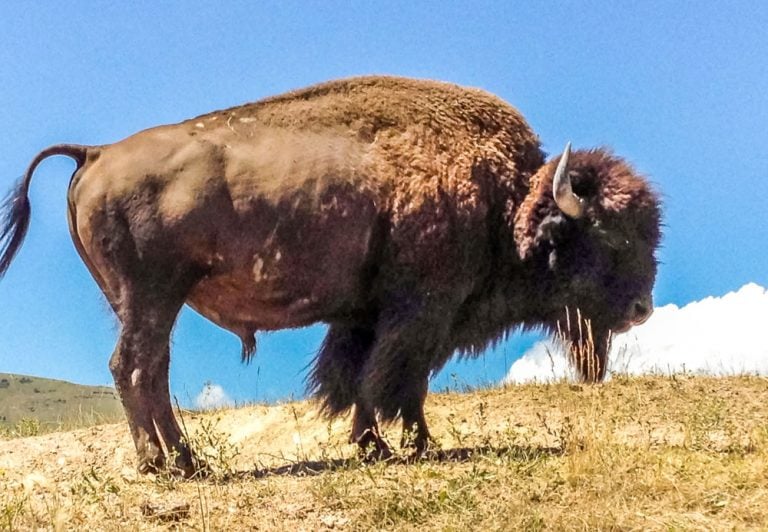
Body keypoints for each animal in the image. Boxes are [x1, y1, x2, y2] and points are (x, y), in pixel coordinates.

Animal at [0, 75, 660, 474]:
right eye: (609, 235)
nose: (642, 310)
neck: (505, 198)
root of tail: (96, 152)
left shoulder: (365, 316)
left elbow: (357, 378)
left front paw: (374, 444)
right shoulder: (421, 311)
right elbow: (397, 379)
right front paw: (411, 445)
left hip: (148, 302)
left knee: (150, 370)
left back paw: (187, 461)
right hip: (153, 295)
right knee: (134, 368)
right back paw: (166, 465)